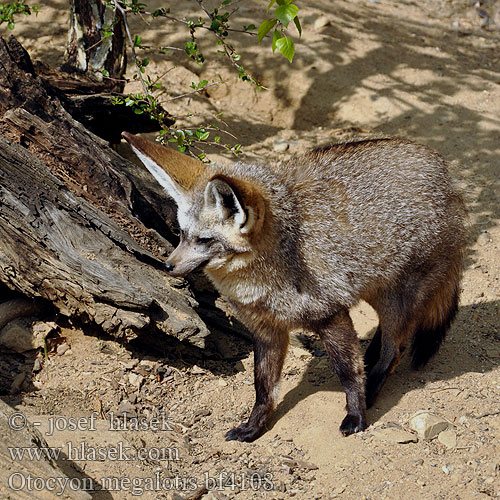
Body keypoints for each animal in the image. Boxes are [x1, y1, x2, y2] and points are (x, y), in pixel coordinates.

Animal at [123, 132, 466, 442]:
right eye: (182, 234)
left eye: (204, 240)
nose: (167, 266)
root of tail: (439, 165)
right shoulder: (266, 331)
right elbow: (264, 388)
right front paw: (254, 427)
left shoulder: (331, 315)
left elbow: (348, 373)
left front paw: (356, 415)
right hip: (380, 292)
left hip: (396, 298)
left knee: (395, 349)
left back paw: (372, 386)